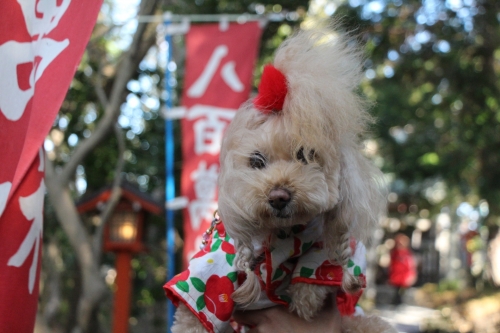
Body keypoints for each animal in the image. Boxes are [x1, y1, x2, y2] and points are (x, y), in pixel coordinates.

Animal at [164, 22, 398, 330]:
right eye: (256, 161)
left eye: (306, 155)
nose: (278, 197)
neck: (284, 233)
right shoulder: (216, 262)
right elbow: (195, 308)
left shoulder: (331, 241)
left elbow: (320, 269)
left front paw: (304, 301)